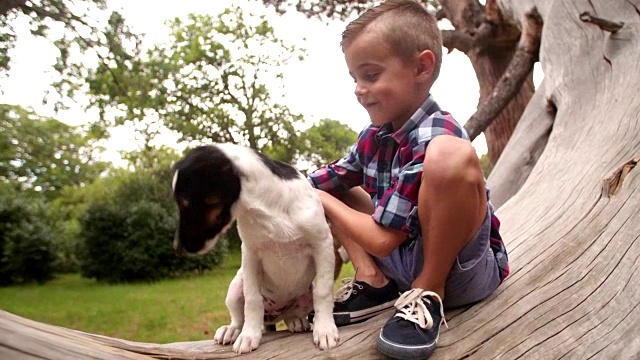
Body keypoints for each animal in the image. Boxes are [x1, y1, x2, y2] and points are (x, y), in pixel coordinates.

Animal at [170, 144, 340, 354]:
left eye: (186, 203)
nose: (177, 249)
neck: (266, 206)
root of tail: (274, 314)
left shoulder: (322, 244)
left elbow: (323, 292)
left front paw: (324, 329)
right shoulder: (250, 254)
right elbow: (252, 300)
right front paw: (249, 336)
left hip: (305, 295)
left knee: (293, 312)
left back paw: (296, 321)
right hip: (235, 288)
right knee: (239, 318)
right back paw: (232, 330)